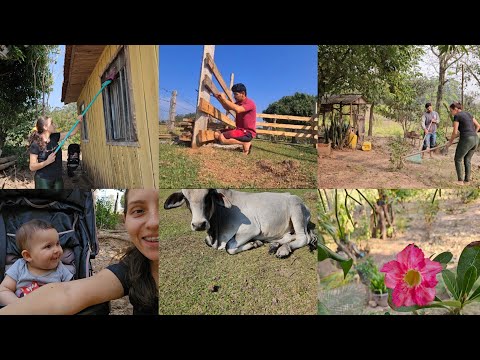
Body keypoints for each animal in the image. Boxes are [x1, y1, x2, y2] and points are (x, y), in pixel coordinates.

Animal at [163, 188, 316, 258]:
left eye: (208, 196)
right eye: (185, 198)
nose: (199, 224)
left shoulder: (252, 229)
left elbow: (229, 247)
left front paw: (254, 243)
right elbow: (207, 241)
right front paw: (256, 242)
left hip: (296, 212)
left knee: (304, 238)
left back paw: (283, 249)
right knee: (290, 236)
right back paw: (275, 245)